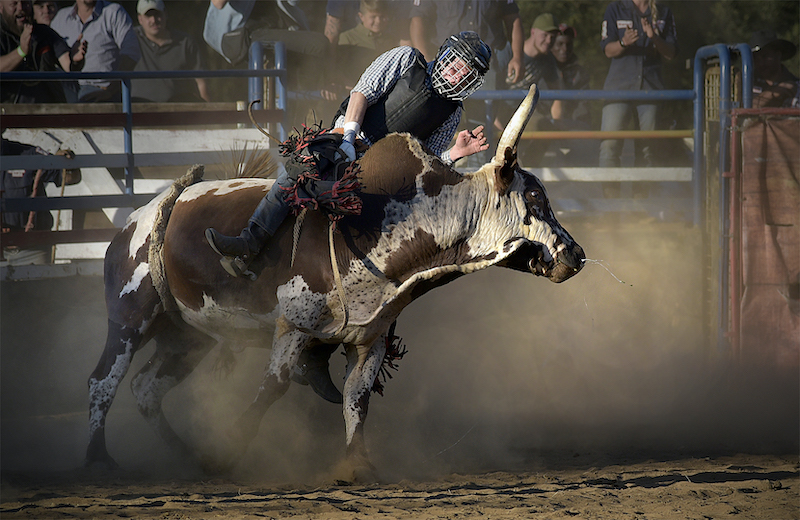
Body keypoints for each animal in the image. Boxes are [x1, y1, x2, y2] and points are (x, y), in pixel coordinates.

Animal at [86, 86, 585, 480]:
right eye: (535, 197)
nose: (577, 256)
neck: (381, 226)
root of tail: (137, 218)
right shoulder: (293, 326)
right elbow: (272, 388)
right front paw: (228, 450)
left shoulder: (370, 340)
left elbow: (356, 400)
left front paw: (357, 465)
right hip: (130, 314)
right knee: (103, 382)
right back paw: (100, 461)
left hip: (186, 334)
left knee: (146, 389)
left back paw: (185, 456)